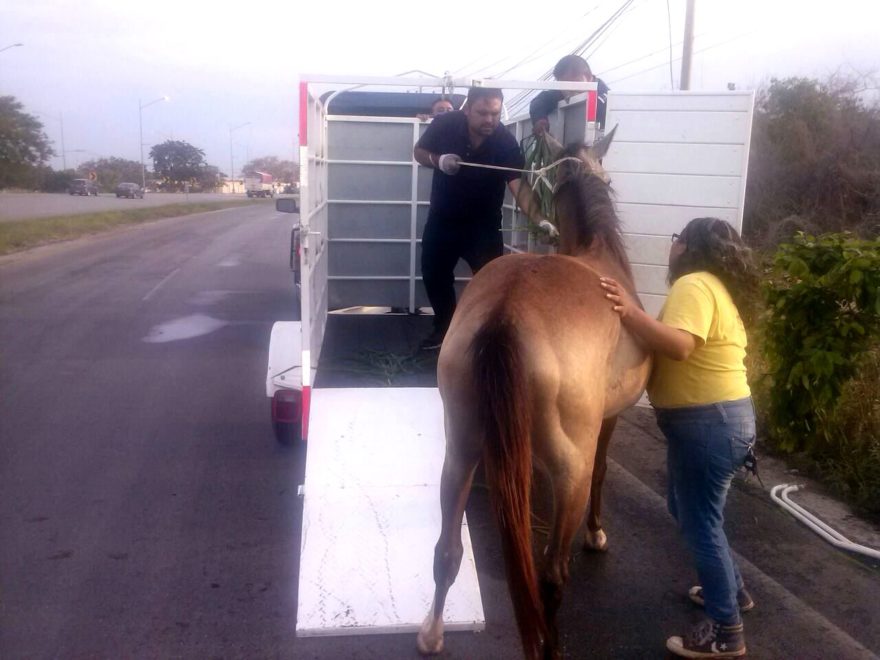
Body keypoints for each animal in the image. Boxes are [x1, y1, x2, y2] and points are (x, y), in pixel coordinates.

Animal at [416, 133, 648, 660]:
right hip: (569, 473)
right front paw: (597, 533)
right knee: (552, 577)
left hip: (460, 449)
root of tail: (508, 311)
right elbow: (603, 471)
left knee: (446, 551)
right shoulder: (608, 424)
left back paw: (431, 633)